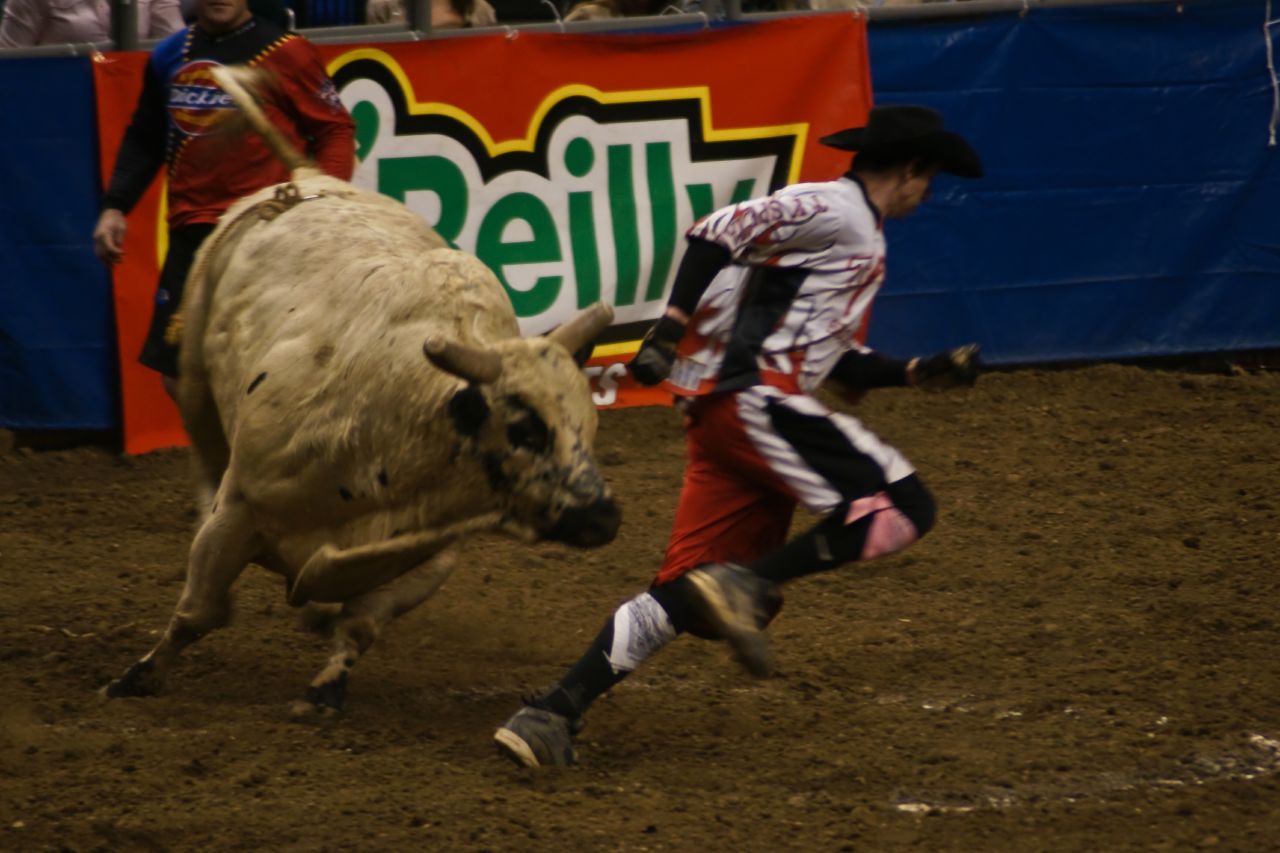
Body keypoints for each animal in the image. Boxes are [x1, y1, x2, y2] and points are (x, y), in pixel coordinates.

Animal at [102, 66, 622, 712]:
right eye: (526, 428)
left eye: (590, 427)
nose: (602, 516)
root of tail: (305, 179)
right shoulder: (241, 508)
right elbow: (201, 612)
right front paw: (138, 675)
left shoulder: (429, 555)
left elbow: (360, 625)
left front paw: (326, 685)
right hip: (195, 368)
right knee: (204, 451)